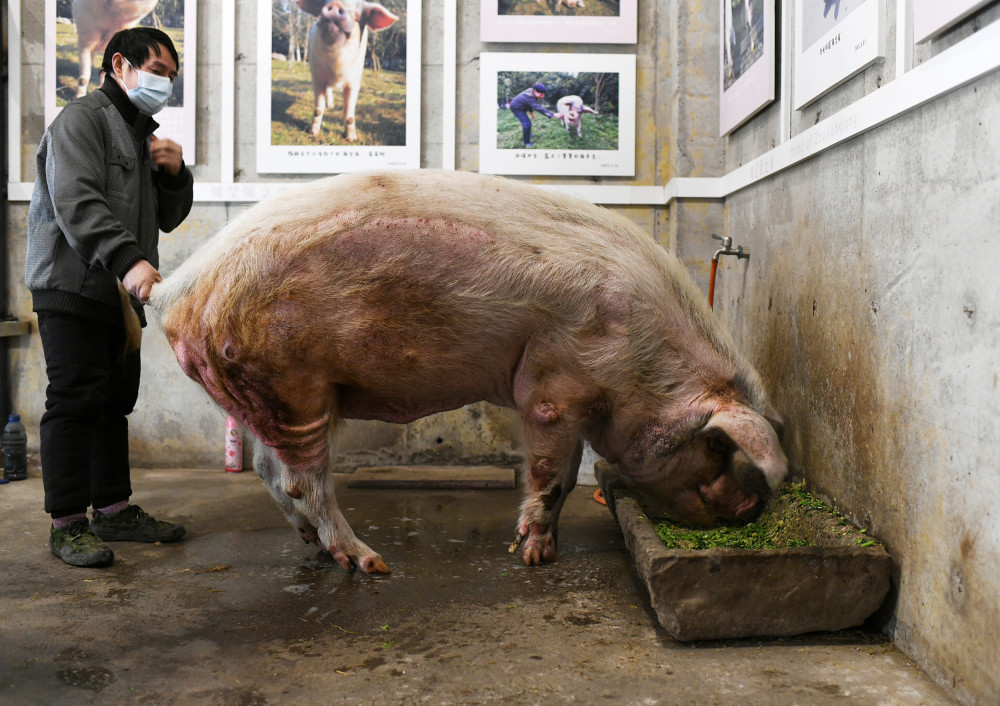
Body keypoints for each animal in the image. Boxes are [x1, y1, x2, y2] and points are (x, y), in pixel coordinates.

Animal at [150, 169, 788, 572]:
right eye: (716, 445)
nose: (752, 509)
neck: (646, 359)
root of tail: (176, 288)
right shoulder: (554, 387)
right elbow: (548, 473)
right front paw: (535, 558)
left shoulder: (569, 399)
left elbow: (568, 471)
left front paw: (547, 549)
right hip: (290, 386)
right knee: (302, 480)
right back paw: (370, 563)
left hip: (264, 395)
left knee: (266, 468)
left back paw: (314, 546)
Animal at [294, 0, 396, 142]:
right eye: (324, 2)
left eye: (358, 12)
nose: (335, 3)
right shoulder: (317, 76)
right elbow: (318, 109)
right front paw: (313, 133)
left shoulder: (354, 81)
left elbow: (349, 113)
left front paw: (351, 139)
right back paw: (330, 106)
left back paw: (331, 107)